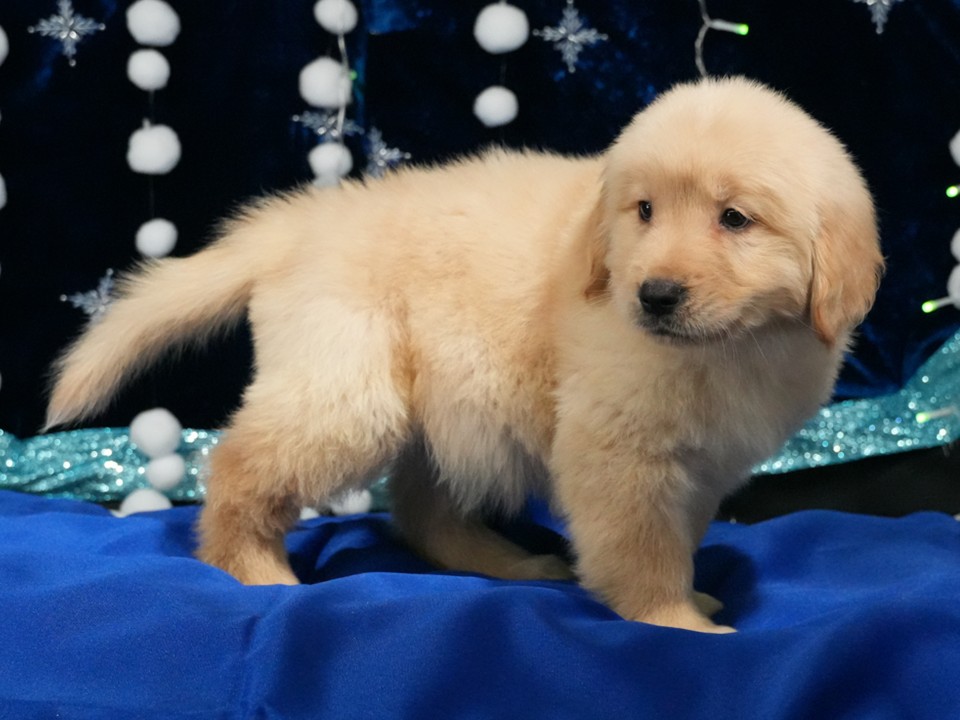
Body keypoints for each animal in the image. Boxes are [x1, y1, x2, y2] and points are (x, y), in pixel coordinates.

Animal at [46, 77, 883, 633]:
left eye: (734, 219)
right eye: (643, 211)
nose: (655, 294)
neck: (733, 348)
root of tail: (302, 223)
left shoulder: (704, 462)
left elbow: (681, 533)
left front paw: (691, 596)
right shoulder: (620, 452)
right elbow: (643, 548)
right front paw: (675, 619)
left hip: (453, 406)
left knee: (420, 508)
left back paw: (510, 563)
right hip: (350, 394)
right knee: (239, 467)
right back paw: (253, 570)